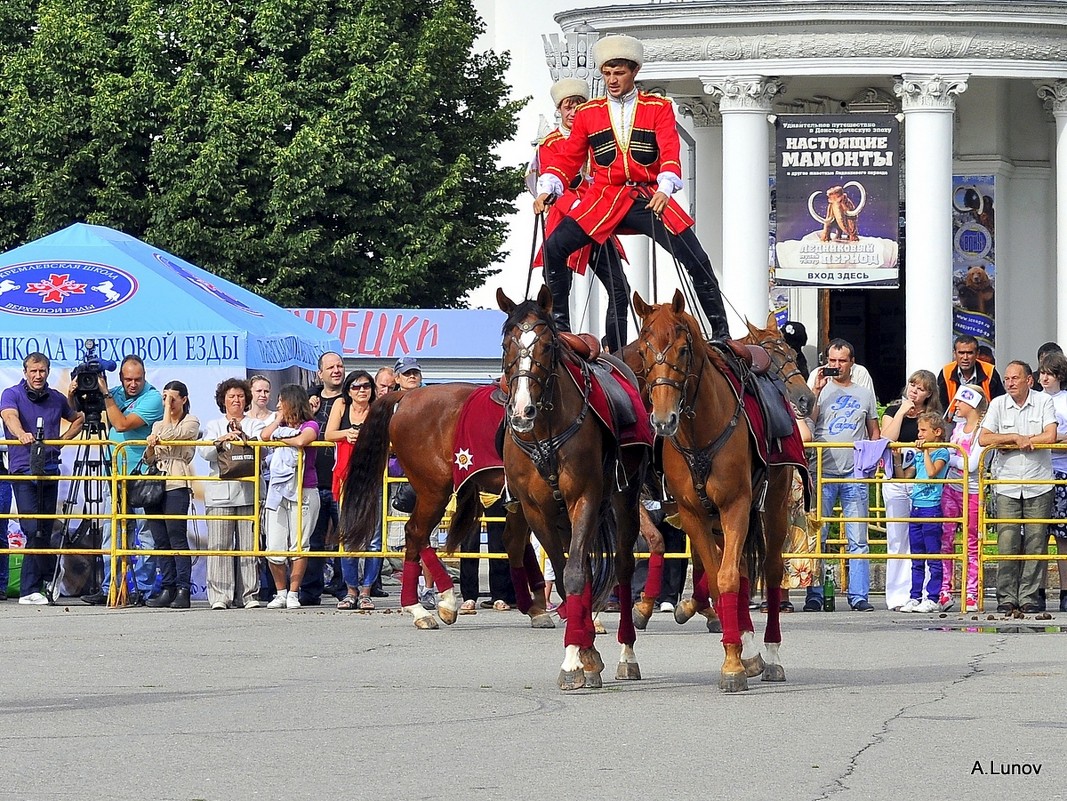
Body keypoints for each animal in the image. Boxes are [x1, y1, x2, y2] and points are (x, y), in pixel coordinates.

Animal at [339, 386, 563, 631]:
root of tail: (407, 397)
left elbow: (522, 543)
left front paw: (539, 606)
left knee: (419, 536)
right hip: (434, 489)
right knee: (415, 531)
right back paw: (430, 606)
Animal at [497, 285, 648, 691]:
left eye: (548, 344)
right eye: (506, 343)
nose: (522, 411)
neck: (544, 430)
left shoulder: (585, 497)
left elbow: (577, 574)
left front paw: (572, 661)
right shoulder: (537, 510)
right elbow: (567, 578)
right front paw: (581, 656)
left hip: (623, 499)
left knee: (623, 566)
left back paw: (626, 655)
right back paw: (590, 648)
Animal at [627, 292, 810, 691]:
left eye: (683, 350)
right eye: (645, 350)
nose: (663, 419)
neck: (700, 432)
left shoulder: (735, 506)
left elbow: (725, 577)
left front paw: (734, 663)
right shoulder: (693, 513)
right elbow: (716, 576)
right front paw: (735, 653)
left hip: (774, 509)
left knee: (771, 570)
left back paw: (770, 654)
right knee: (738, 569)